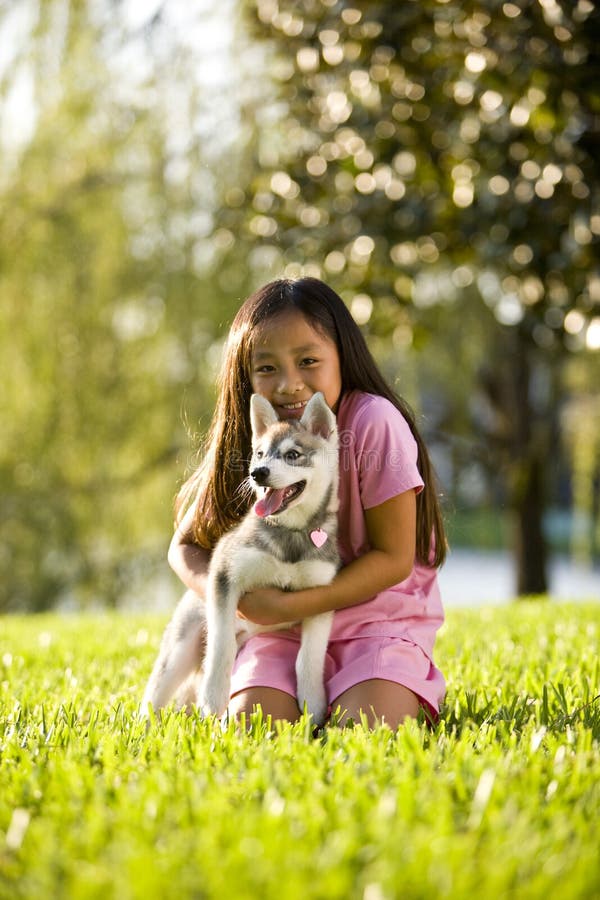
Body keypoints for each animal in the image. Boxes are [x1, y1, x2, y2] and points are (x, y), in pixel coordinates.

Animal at [141, 394, 338, 724]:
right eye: (259, 454)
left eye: (293, 454)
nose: (258, 473)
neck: (290, 533)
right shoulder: (225, 574)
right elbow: (221, 645)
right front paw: (214, 698)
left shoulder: (321, 595)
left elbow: (309, 657)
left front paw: (313, 704)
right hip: (180, 647)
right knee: (154, 693)